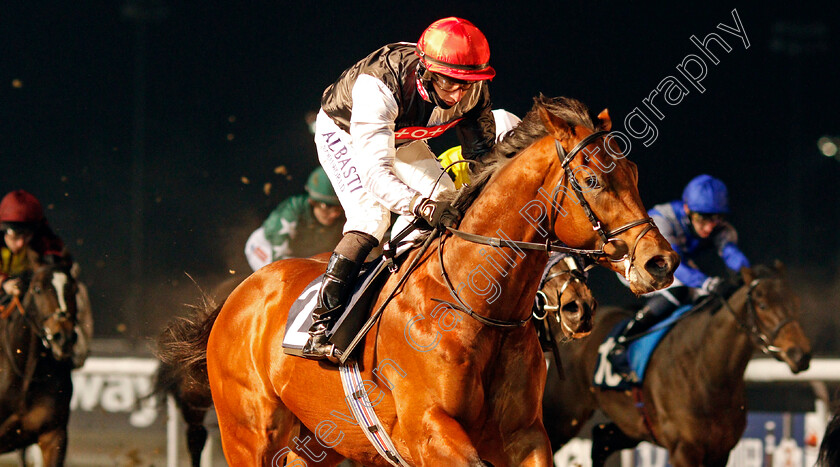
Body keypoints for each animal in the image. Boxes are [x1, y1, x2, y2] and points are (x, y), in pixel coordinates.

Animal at [161, 96, 680, 467]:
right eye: (593, 182)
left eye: (634, 173)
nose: (660, 261)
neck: (475, 307)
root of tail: (239, 296)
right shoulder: (428, 431)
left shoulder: (525, 434)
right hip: (249, 437)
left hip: (318, 443)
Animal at [540, 266, 812, 466]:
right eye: (763, 305)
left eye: (796, 301)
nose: (801, 354)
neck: (706, 372)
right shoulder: (684, 450)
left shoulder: (720, 451)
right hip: (563, 414)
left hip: (634, 424)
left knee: (601, 437)